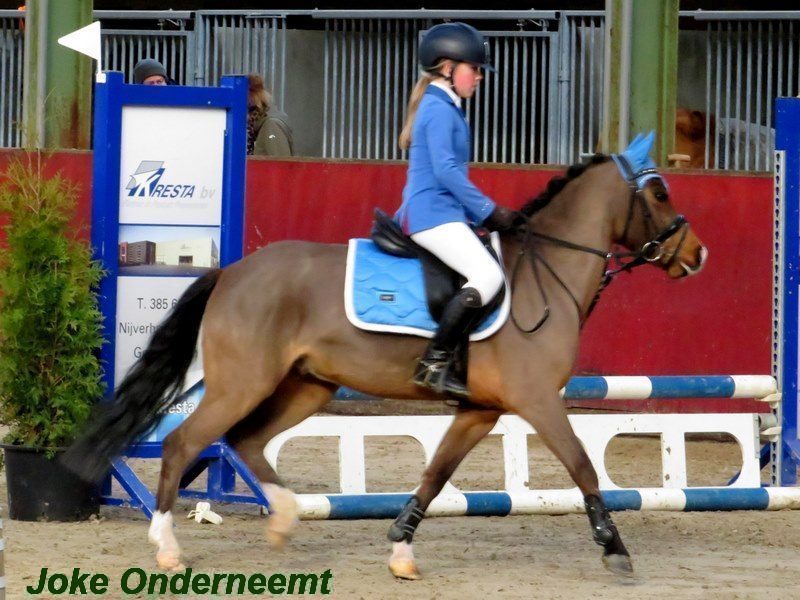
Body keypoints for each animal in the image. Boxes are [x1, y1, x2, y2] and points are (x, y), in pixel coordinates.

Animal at [67, 146, 708, 580]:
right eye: (658, 194)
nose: (698, 254)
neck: (540, 278)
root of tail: (233, 271)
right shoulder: (537, 400)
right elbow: (582, 466)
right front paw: (615, 549)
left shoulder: (480, 410)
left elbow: (436, 475)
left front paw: (401, 548)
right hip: (243, 383)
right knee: (185, 443)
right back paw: (168, 546)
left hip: (306, 386)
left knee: (246, 441)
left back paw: (284, 516)